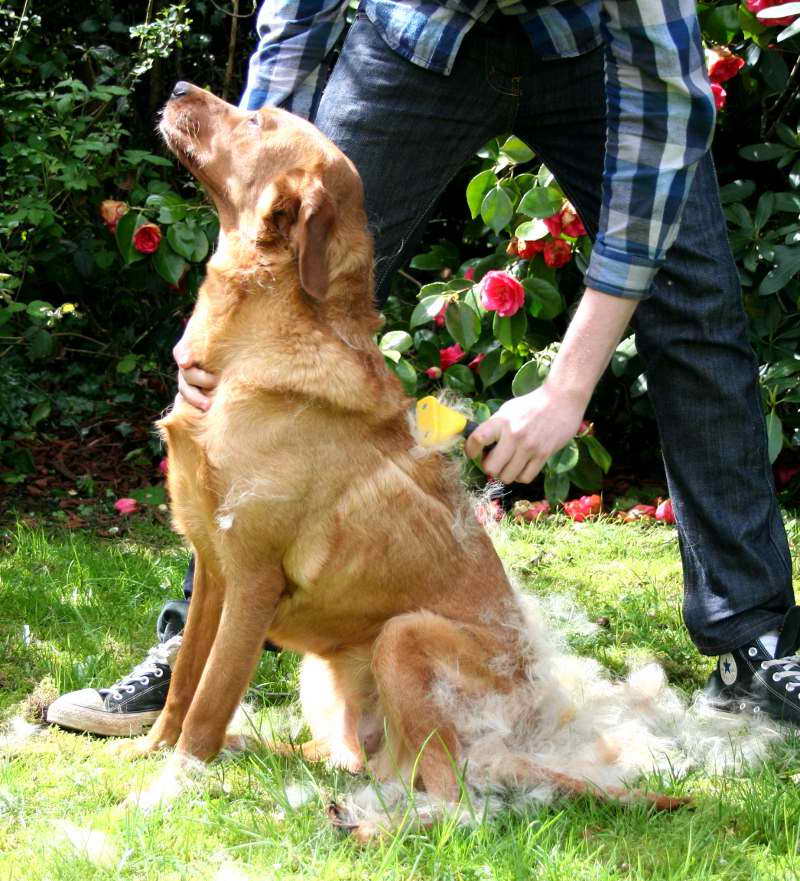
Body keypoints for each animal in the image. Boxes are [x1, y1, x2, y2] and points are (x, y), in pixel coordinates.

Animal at [112, 82, 688, 820]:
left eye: (255, 121)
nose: (182, 88)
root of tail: (522, 744)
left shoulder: (252, 579)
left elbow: (211, 700)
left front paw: (172, 784)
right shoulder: (212, 566)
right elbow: (186, 678)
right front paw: (153, 749)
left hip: (404, 637)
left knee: (455, 799)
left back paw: (370, 823)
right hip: (328, 681)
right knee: (359, 762)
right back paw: (279, 757)